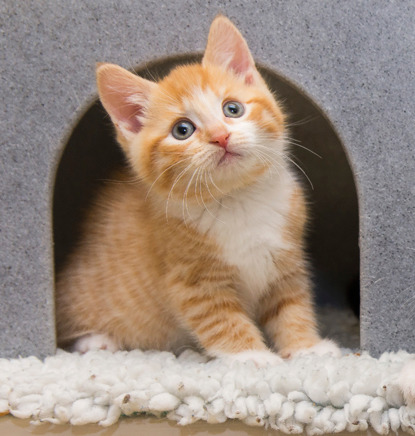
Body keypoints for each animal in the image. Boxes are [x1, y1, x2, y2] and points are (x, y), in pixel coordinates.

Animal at [55, 15, 340, 366]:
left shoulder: (286, 262)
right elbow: (222, 320)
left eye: (232, 109)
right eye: (182, 130)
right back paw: (97, 342)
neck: (239, 199)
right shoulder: (194, 282)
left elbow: (292, 307)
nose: (221, 136)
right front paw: (252, 357)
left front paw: (306, 348)